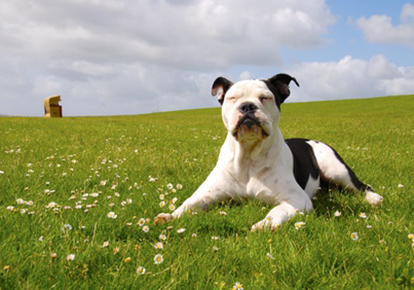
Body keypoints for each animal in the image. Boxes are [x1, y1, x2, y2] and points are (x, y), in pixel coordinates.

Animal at [156, 73, 384, 231]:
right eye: (232, 98)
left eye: (265, 97)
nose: (247, 106)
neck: (248, 156)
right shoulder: (206, 194)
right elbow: (187, 205)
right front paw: (170, 216)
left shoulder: (296, 199)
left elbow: (278, 210)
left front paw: (265, 224)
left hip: (336, 169)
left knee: (362, 186)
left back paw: (374, 199)